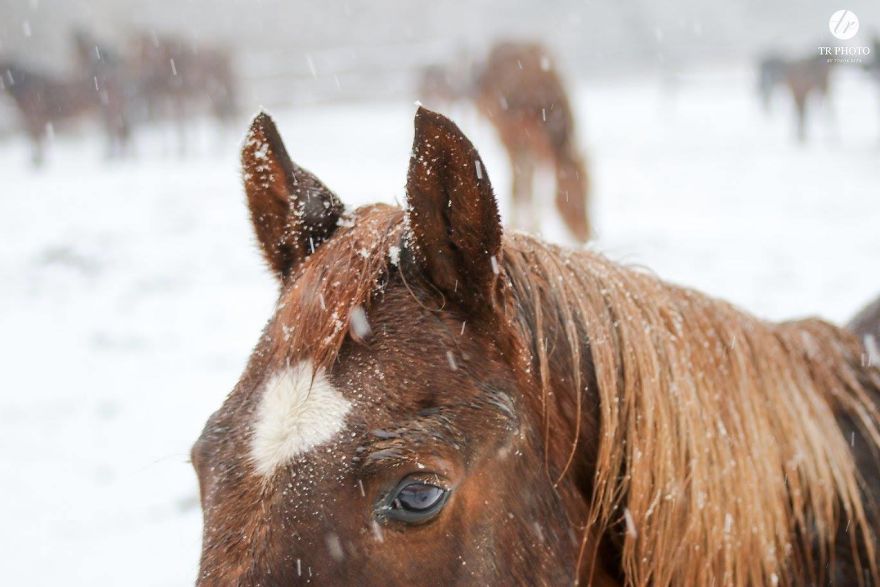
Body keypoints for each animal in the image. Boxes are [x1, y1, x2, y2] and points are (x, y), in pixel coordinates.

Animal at [417, 42, 591, 243]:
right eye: (574, 197)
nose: (586, 235)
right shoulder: (513, 139)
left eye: (589, 192)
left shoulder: (531, 144)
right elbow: (519, 186)